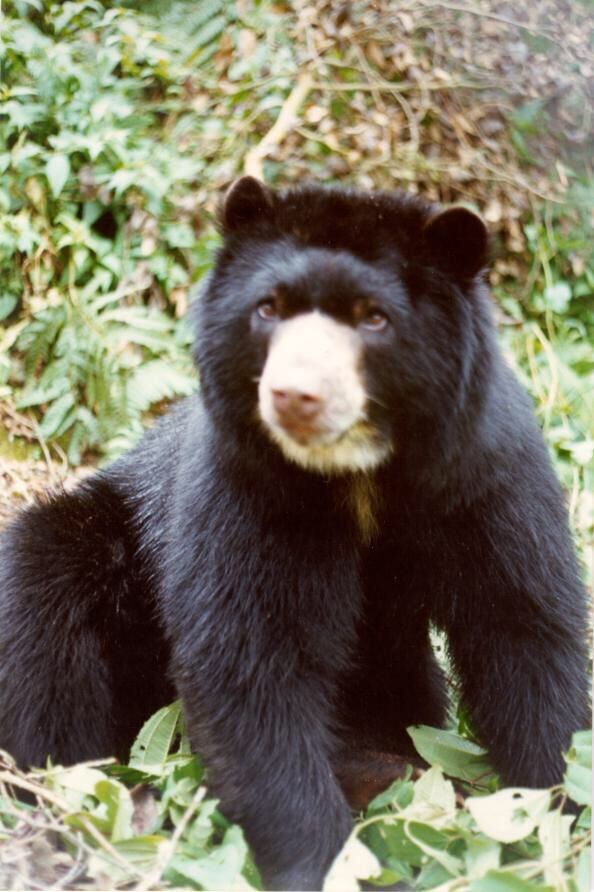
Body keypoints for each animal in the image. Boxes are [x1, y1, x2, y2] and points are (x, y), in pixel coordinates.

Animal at [0, 176, 589, 891]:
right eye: (268, 309)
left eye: (373, 318)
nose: (294, 396)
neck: (356, 473)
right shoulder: (248, 490)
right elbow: (253, 662)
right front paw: (326, 857)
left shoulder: (485, 480)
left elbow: (522, 635)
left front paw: (553, 819)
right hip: (104, 545)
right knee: (46, 616)